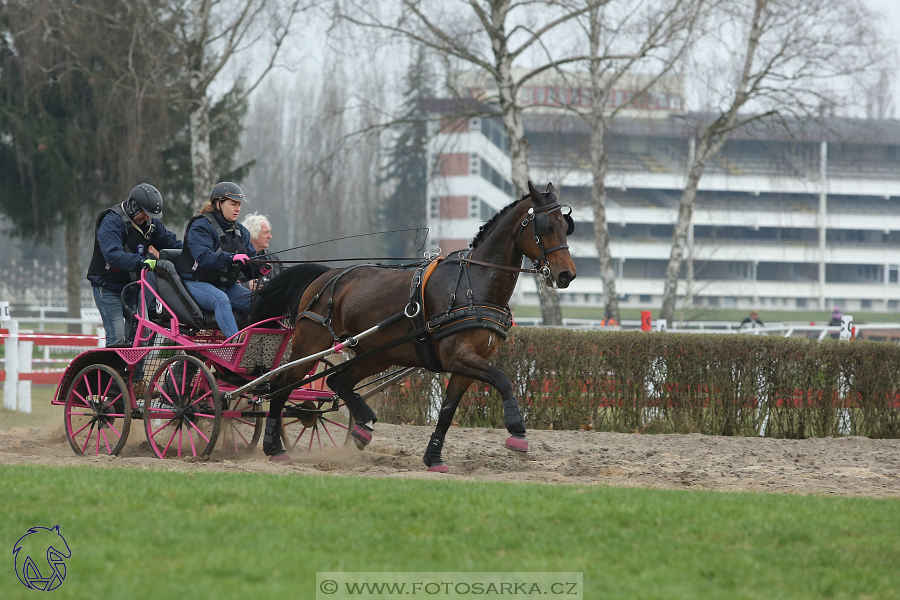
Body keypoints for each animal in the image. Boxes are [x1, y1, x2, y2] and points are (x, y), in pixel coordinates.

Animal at [251, 180, 576, 472]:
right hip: (311, 345)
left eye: (566, 225)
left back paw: (362, 426)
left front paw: (434, 458)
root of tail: (326, 276)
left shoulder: (468, 363)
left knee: (337, 381)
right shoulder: (458, 356)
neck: (474, 284)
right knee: (279, 387)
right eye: (545, 225)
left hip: (378, 353)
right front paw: (517, 430)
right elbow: (503, 379)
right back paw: (274, 446)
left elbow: (447, 412)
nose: (567, 275)